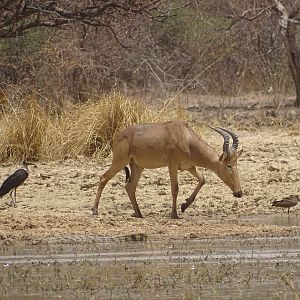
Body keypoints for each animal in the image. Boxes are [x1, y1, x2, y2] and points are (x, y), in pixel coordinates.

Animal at [92, 120, 244, 219]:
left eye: (236, 163)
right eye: (228, 165)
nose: (239, 193)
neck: (185, 135)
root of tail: (117, 136)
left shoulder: (188, 166)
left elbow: (202, 179)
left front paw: (184, 206)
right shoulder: (172, 164)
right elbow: (175, 188)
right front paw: (174, 214)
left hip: (137, 166)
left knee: (130, 186)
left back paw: (139, 213)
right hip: (120, 161)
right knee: (104, 178)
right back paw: (95, 210)